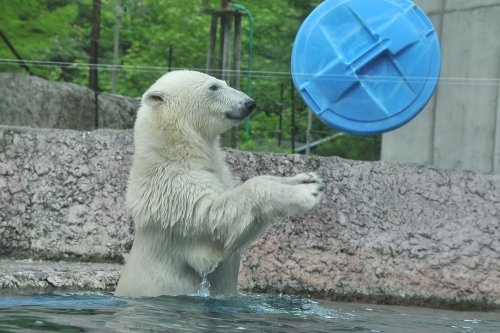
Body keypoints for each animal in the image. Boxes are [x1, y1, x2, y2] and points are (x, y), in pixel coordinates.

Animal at [114, 70, 324, 296]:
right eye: (213, 87)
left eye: (224, 82)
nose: (249, 103)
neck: (174, 153)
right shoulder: (177, 196)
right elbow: (215, 218)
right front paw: (309, 192)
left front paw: (306, 178)